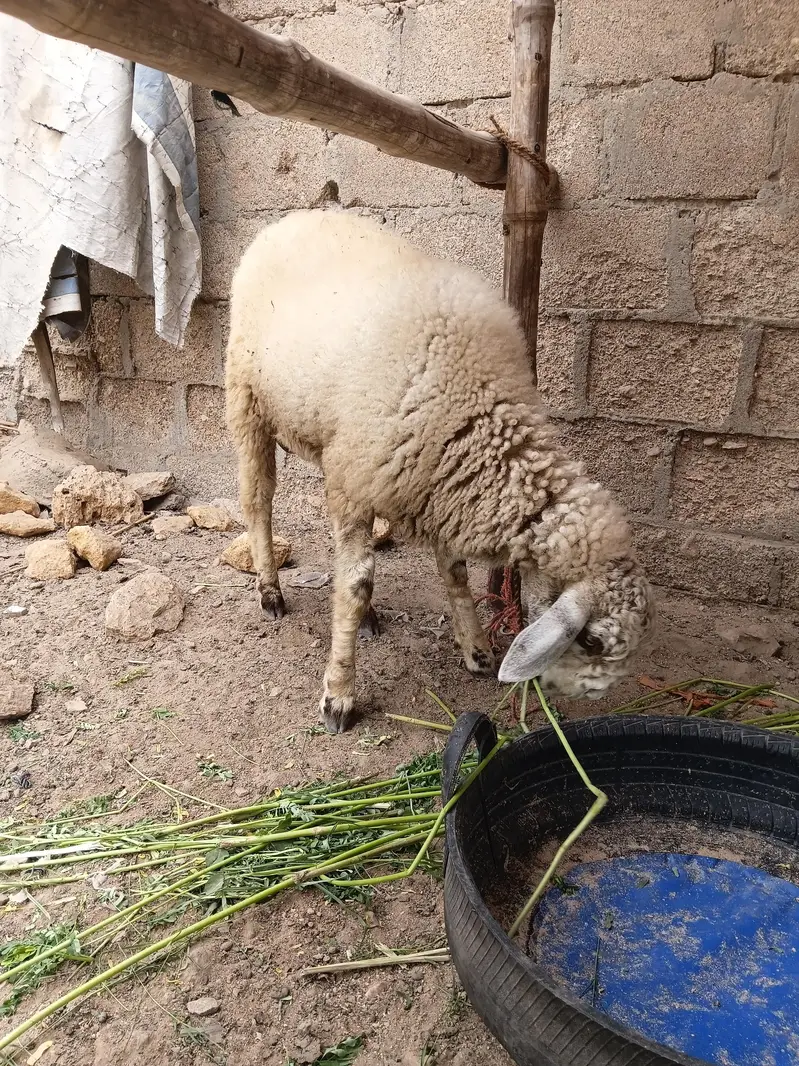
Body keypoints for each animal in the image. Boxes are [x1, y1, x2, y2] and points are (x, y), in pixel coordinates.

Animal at [226, 209, 654, 733]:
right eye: (591, 640)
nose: (590, 696)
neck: (477, 407)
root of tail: (299, 215)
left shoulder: (440, 483)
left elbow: (453, 571)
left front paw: (476, 649)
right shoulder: (356, 483)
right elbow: (354, 585)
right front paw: (339, 694)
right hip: (247, 398)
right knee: (258, 500)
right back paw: (270, 591)